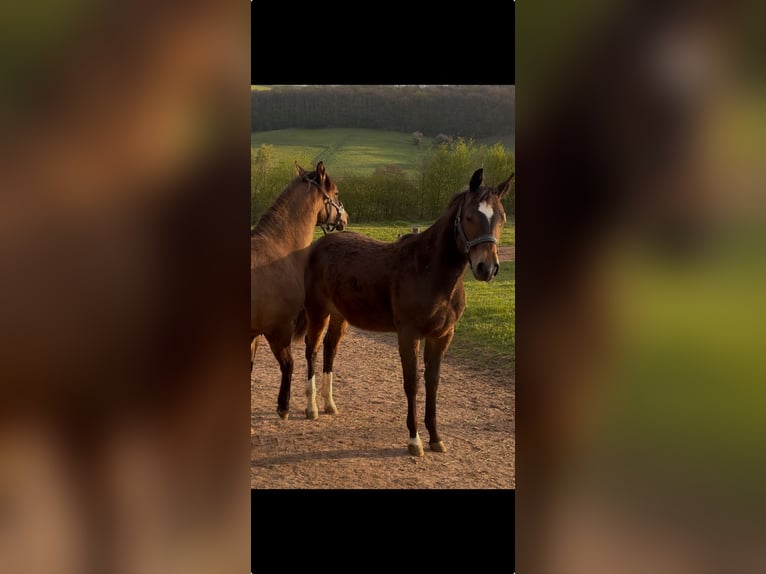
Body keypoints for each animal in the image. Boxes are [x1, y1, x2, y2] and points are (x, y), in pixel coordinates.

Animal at [250, 161, 347, 419]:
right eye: (335, 194)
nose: (344, 217)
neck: (277, 250)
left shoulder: (254, 334)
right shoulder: (279, 329)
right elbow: (289, 364)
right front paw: (283, 407)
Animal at [302, 168, 514, 456]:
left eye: (501, 218)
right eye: (470, 216)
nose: (487, 268)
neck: (428, 271)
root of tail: (321, 243)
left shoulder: (442, 336)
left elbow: (433, 383)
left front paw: (436, 438)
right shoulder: (409, 335)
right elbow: (411, 383)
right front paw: (414, 440)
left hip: (339, 315)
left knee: (329, 349)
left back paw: (329, 404)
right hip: (317, 311)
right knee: (311, 349)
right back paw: (311, 407)